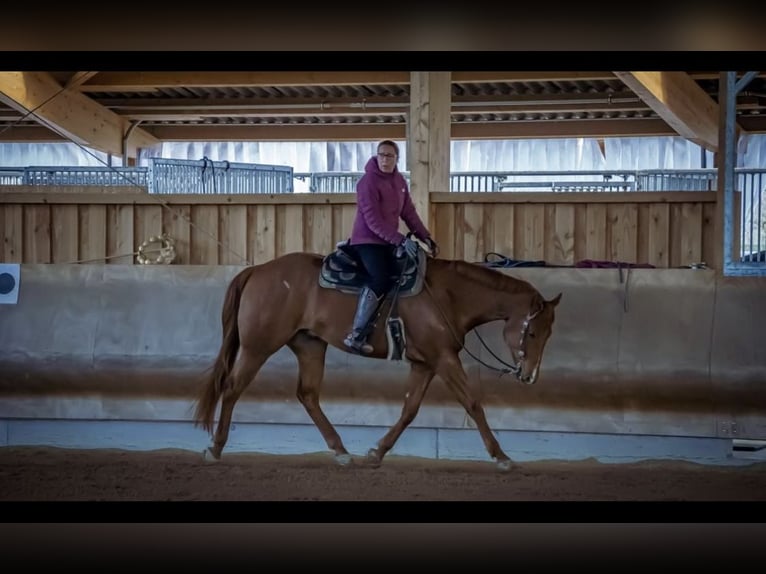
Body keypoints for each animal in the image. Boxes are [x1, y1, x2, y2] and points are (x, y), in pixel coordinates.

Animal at [193, 247, 562, 471]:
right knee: (232, 387)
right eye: (531, 333)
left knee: (307, 395)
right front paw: (502, 457)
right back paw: (215, 448)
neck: (448, 296)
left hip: (310, 346)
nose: (529, 375)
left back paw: (342, 451)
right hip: (259, 346)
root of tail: (257, 271)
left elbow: (410, 409)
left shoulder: (425, 363)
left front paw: (377, 452)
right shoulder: (443, 359)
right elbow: (472, 403)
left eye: (548, 334)